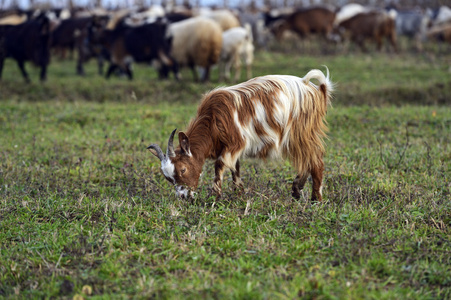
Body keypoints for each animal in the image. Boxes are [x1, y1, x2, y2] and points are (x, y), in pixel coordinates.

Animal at [147, 68, 334, 202]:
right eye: (168, 178)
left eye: (183, 169)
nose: (184, 197)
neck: (212, 120)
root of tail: (318, 91)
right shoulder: (230, 148)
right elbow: (235, 169)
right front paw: (239, 195)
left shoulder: (235, 142)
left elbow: (219, 166)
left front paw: (215, 197)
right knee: (307, 161)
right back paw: (297, 191)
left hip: (301, 133)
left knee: (315, 161)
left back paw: (315, 200)